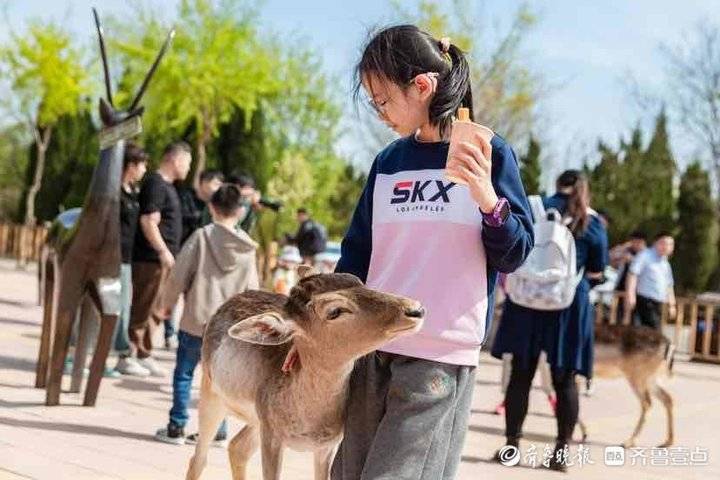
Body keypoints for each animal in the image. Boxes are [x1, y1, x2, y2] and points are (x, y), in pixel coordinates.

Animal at [184, 268, 428, 478]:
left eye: (358, 280)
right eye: (335, 311)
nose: (415, 309)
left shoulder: (326, 445)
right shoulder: (272, 436)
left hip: (256, 418)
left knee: (237, 448)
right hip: (212, 393)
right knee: (199, 459)